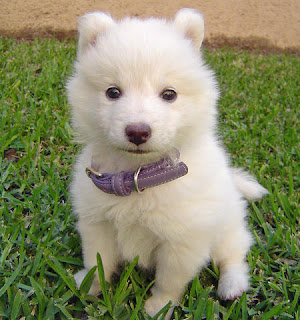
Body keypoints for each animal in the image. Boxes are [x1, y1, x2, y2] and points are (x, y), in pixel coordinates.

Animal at [67, 8, 268, 318]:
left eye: (169, 94)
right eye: (113, 92)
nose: (138, 131)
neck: (139, 176)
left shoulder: (182, 241)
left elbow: (169, 280)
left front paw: (158, 307)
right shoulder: (97, 223)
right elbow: (98, 260)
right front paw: (90, 285)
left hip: (226, 227)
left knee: (233, 255)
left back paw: (232, 285)